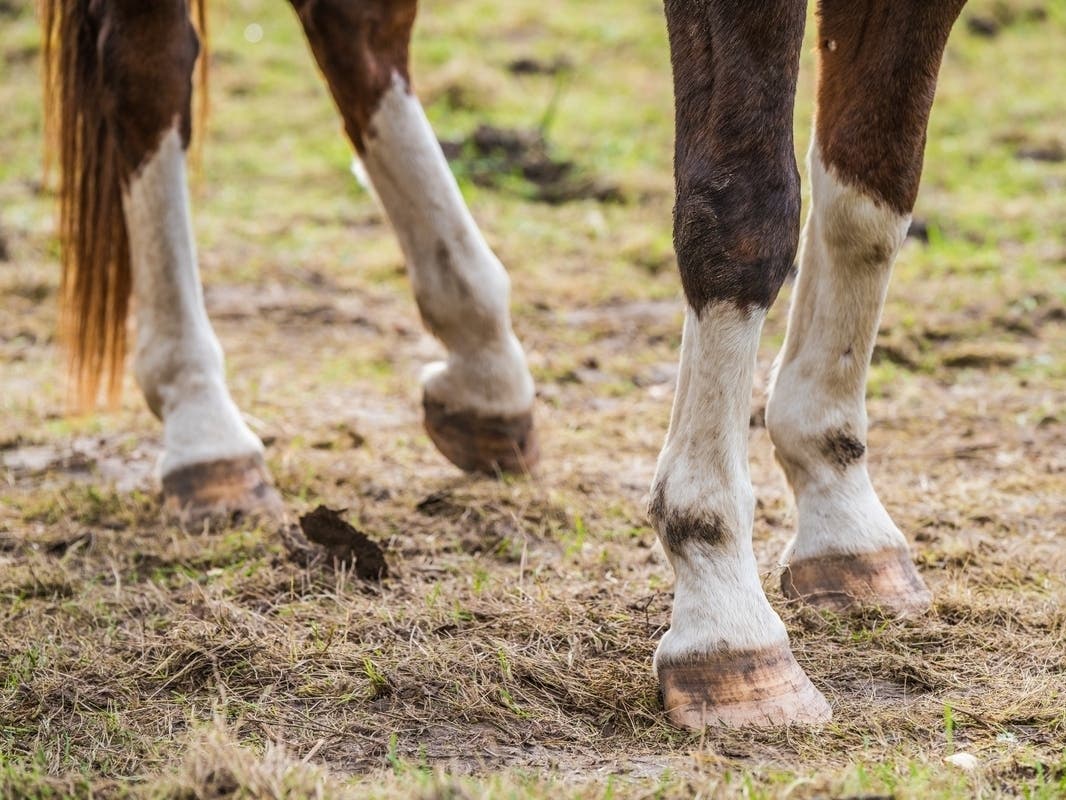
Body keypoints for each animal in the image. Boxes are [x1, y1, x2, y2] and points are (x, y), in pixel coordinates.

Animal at [38, 0, 966, 729]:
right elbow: (745, 209)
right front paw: (724, 613)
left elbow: (872, 190)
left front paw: (841, 510)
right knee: (145, 60)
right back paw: (204, 429)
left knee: (351, 26)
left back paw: (484, 369)